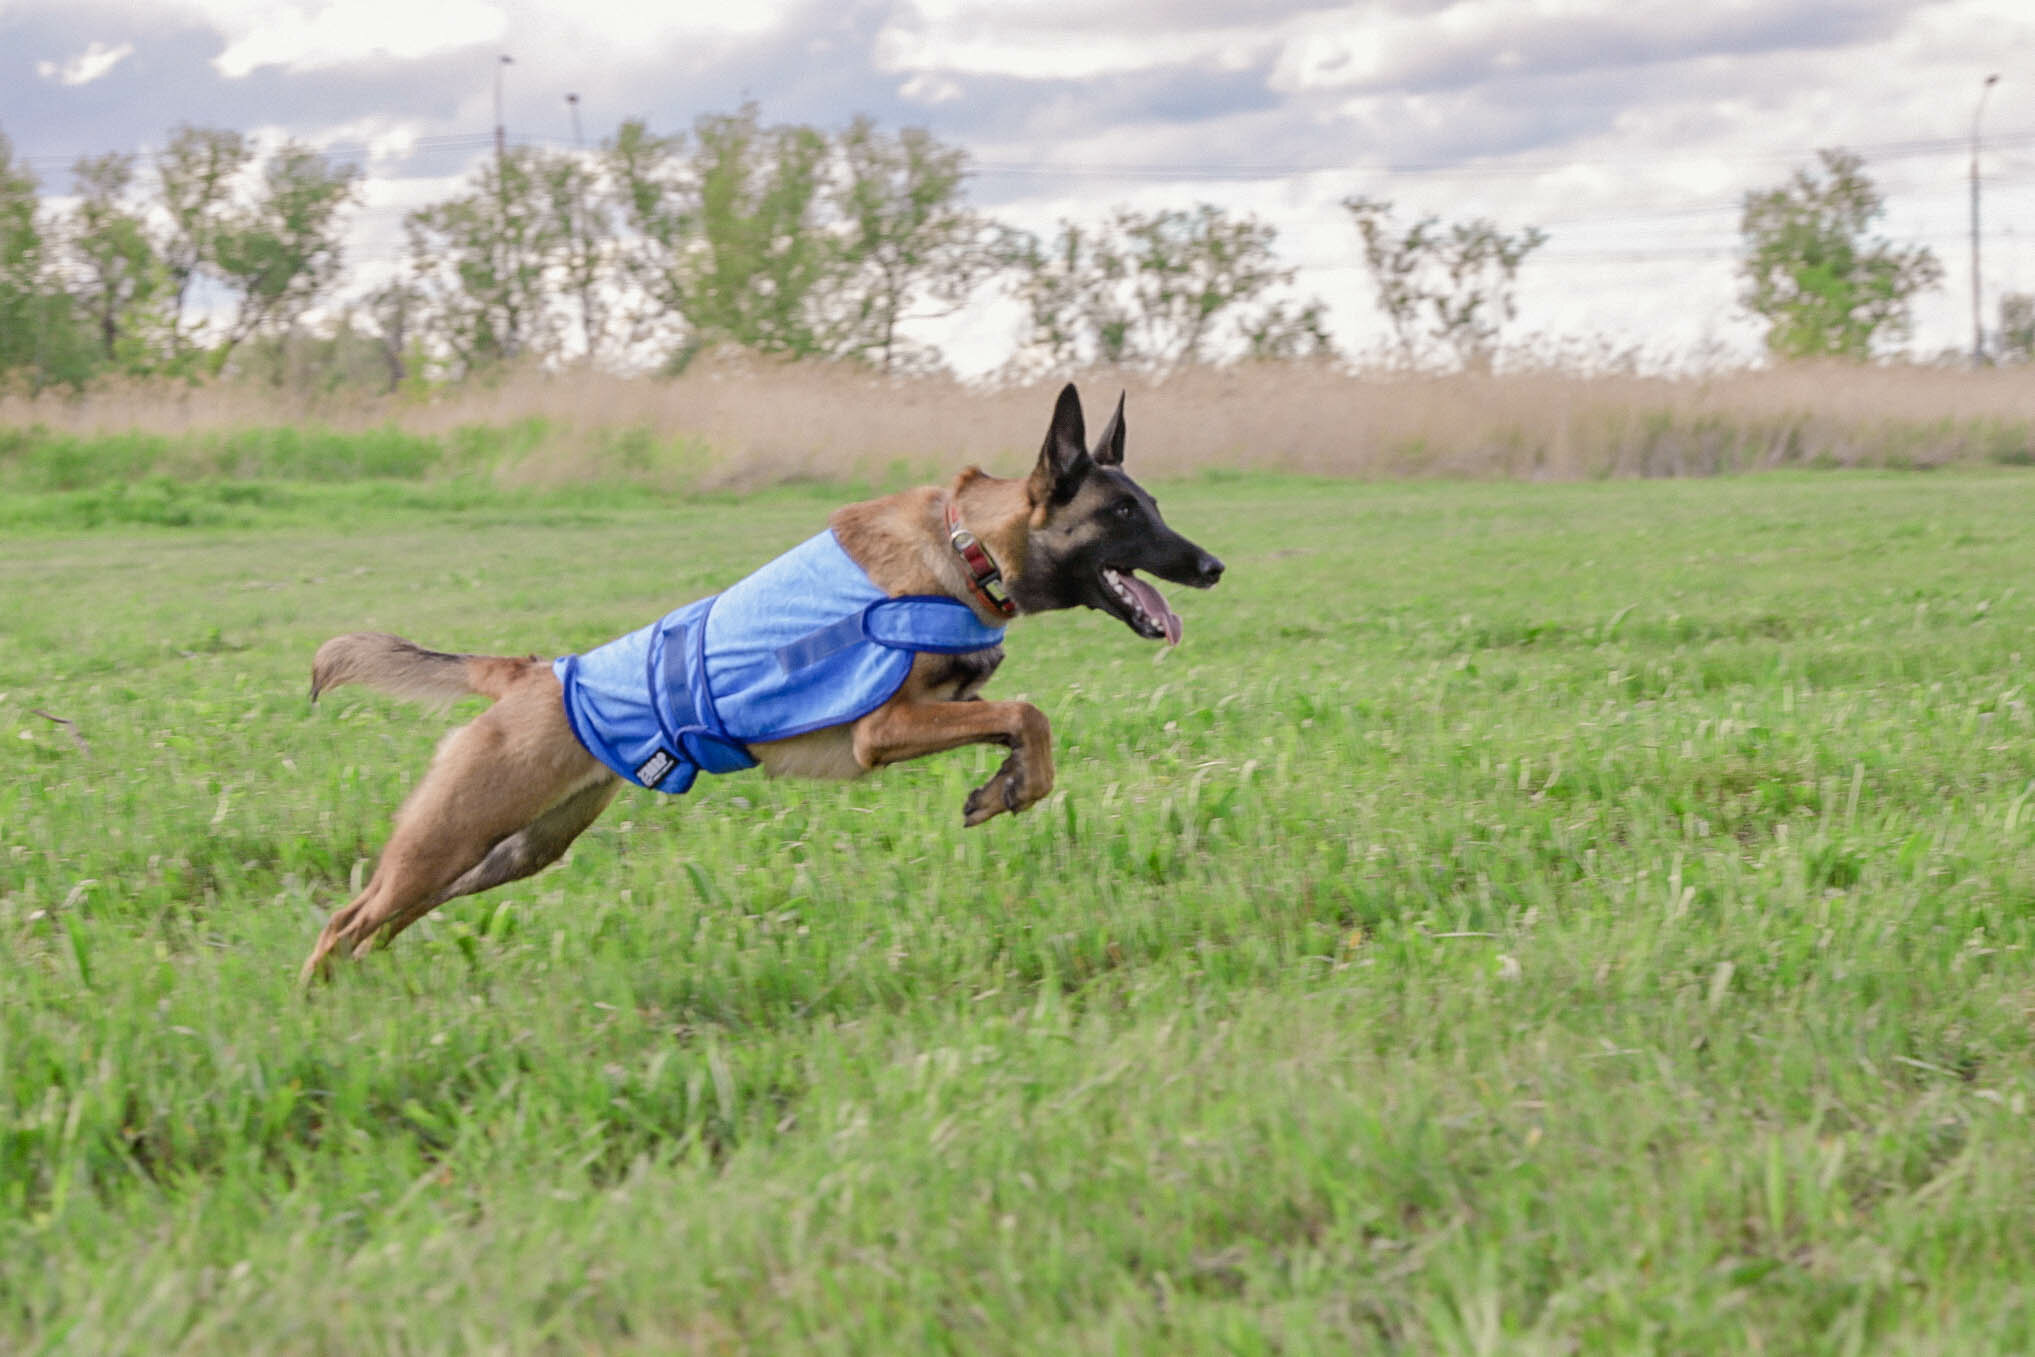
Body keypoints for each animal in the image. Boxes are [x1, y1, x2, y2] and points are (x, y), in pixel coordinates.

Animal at [301, 386, 1221, 980]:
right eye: (1122, 514)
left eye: (1152, 505)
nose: (1212, 566)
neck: (970, 549)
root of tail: (535, 673)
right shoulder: (880, 730)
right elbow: (1029, 712)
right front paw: (1014, 788)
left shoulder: (947, 707)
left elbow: (1015, 717)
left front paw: (1005, 786)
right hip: (453, 833)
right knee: (346, 918)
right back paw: (323, 1007)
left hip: (514, 849)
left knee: (380, 918)